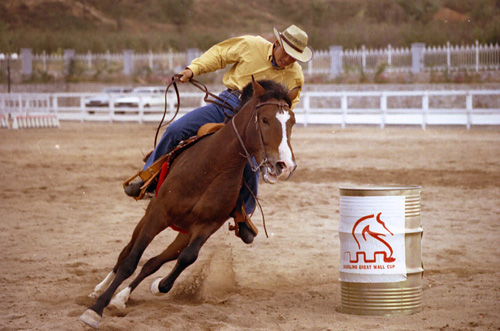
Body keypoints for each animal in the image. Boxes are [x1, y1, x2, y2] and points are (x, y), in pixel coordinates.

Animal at [78, 78, 296, 330]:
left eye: (292, 122)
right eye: (265, 119)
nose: (285, 166)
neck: (213, 166)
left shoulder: (207, 227)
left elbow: (186, 258)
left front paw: (157, 286)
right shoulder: (158, 214)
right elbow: (130, 261)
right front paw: (95, 310)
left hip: (183, 232)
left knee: (153, 261)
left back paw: (121, 297)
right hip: (148, 217)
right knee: (126, 252)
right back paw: (100, 289)